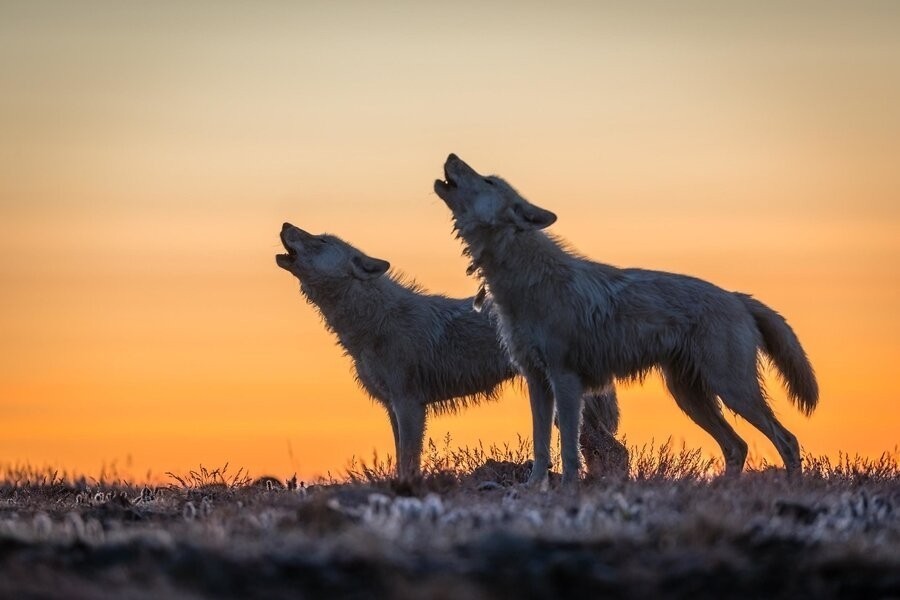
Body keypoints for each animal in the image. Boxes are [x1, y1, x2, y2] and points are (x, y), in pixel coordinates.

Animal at [276, 223, 626, 480]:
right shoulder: (392, 407)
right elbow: (401, 456)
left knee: (614, 452)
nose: (285, 224)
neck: (374, 323)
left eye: (320, 240)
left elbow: (409, 461)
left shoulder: (410, 405)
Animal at [434, 154, 818, 488]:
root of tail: (738, 297)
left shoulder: (565, 380)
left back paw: (792, 489)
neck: (526, 280)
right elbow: (541, 448)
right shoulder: (537, 382)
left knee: (787, 439)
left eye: (488, 180)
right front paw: (531, 490)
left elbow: (568, 451)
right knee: (737, 446)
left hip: (733, 391)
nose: (451, 155)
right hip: (691, 397)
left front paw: (567, 490)